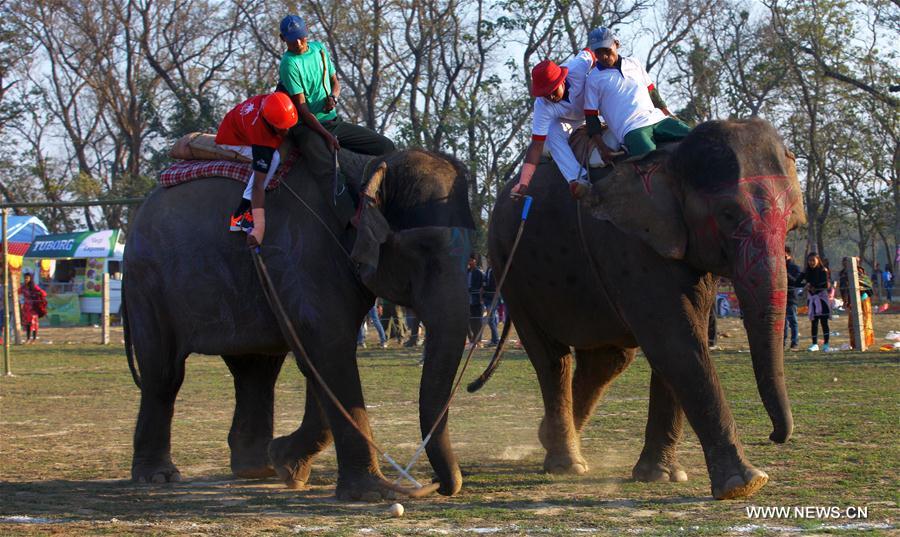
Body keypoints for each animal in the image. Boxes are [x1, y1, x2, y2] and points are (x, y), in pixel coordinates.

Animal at [123, 147, 475, 500]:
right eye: (423, 249)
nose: (439, 485)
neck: (366, 168)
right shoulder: (303, 255)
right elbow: (328, 351)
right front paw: (372, 492)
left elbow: (319, 361)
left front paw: (285, 464)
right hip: (148, 282)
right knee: (164, 373)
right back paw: (159, 476)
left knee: (256, 371)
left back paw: (256, 468)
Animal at [485, 118, 804, 500]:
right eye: (727, 214)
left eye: (791, 221)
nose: (775, 435)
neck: (672, 156)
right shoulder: (629, 242)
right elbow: (673, 340)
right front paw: (744, 483)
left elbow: (684, 336)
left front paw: (661, 476)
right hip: (508, 266)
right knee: (552, 360)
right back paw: (567, 464)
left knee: (609, 360)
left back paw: (546, 436)